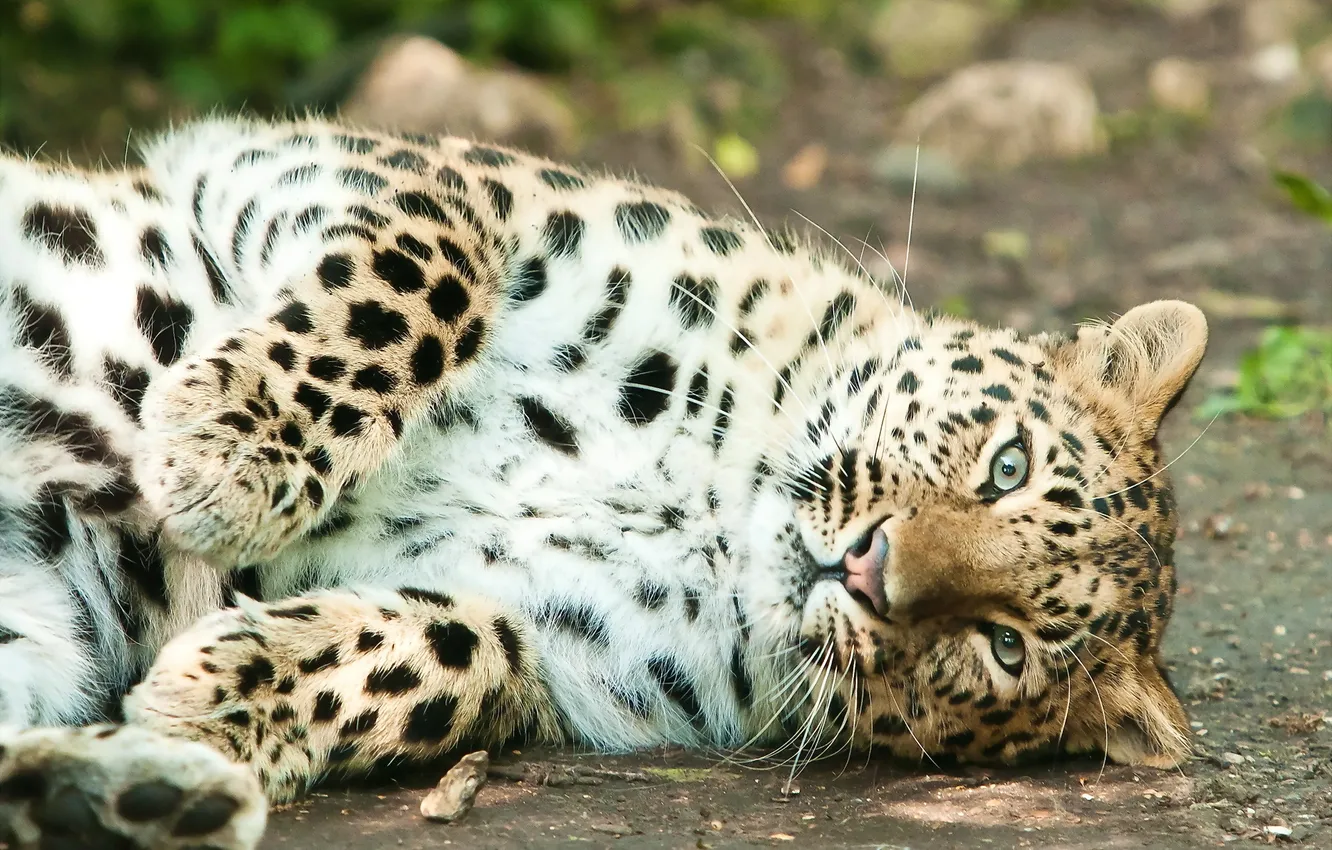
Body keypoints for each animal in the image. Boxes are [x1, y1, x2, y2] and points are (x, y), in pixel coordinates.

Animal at [0, 115, 1208, 850]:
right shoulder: (331, 167)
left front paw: (212, 693)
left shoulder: (566, 659)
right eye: (1006, 465)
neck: (715, 504)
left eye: (1003, 647)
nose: (871, 570)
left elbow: (467, 650)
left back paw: (136, 795)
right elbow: (427, 273)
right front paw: (224, 451)